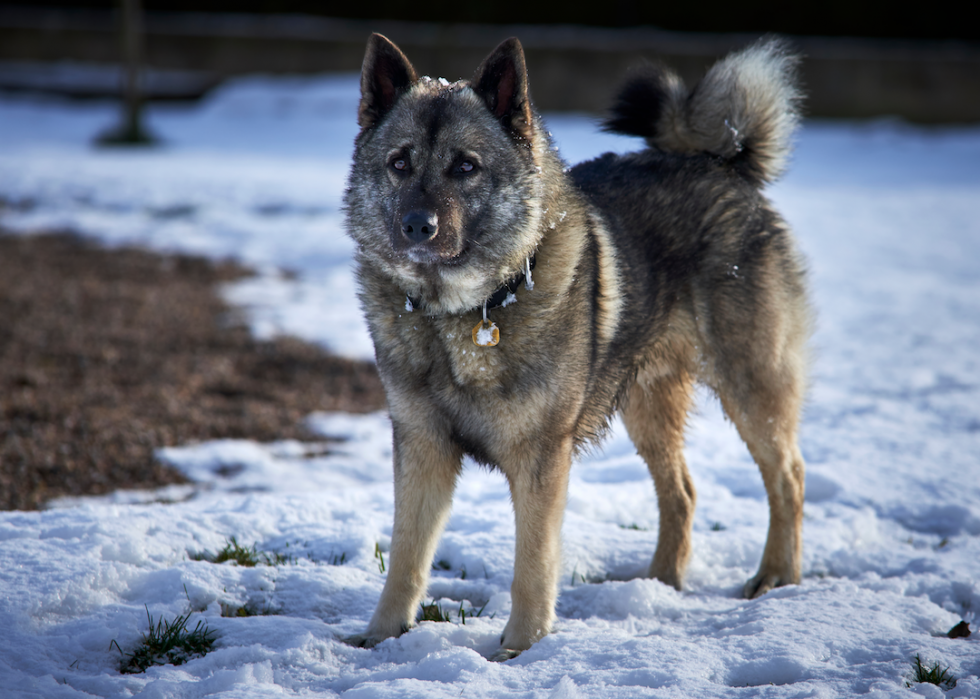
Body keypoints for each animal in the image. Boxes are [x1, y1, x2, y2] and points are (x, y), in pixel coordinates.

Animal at [344, 32, 812, 660]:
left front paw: (521, 647)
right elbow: (406, 556)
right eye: (400, 164)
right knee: (682, 491)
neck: (463, 313)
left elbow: (532, 563)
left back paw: (777, 576)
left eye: (466, 167)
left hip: (752, 386)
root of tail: (718, 163)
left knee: (787, 478)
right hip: (646, 404)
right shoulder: (421, 446)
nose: (418, 225)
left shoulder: (542, 459)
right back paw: (659, 583)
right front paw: (382, 634)